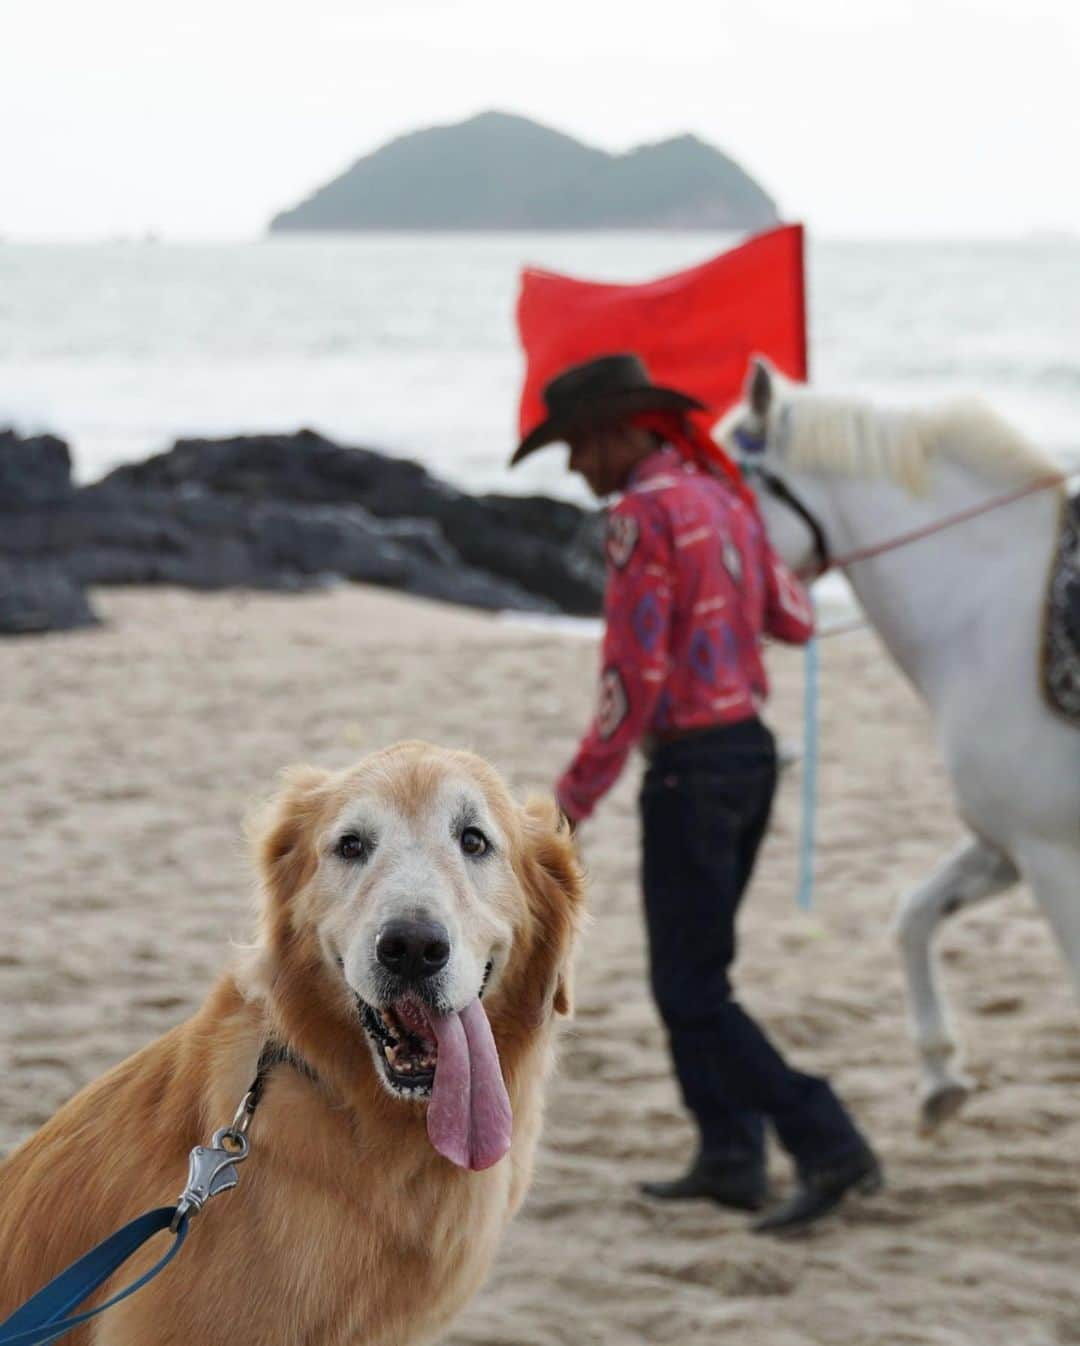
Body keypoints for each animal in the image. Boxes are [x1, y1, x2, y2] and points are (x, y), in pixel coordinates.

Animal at [716, 363, 1077, 1130]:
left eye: (721, 478)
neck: (995, 614)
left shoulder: (1054, 856)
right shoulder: (1009, 846)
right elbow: (914, 914)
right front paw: (939, 1074)